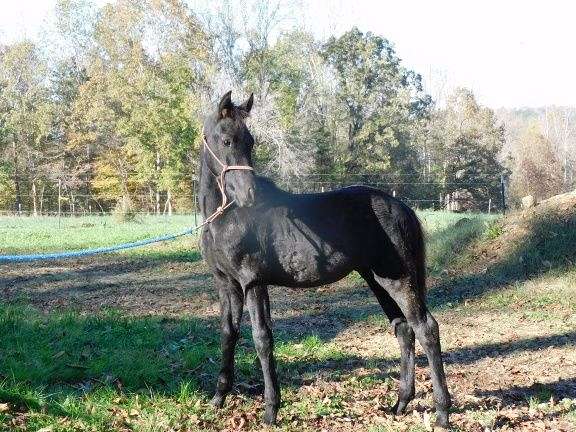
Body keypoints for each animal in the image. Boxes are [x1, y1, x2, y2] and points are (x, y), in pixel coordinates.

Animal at [200, 92, 452, 428]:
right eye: (226, 140)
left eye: (251, 142)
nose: (249, 195)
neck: (224, 219)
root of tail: (402, 207)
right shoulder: (226, 285)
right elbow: (228, 335)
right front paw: (218, 399)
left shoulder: (253, 283)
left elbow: (262, 339)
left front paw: (270, 411)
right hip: (377, 280)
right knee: (404, 330)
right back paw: (400, 403)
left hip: (398, 280)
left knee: (426, 329)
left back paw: (442, 413)